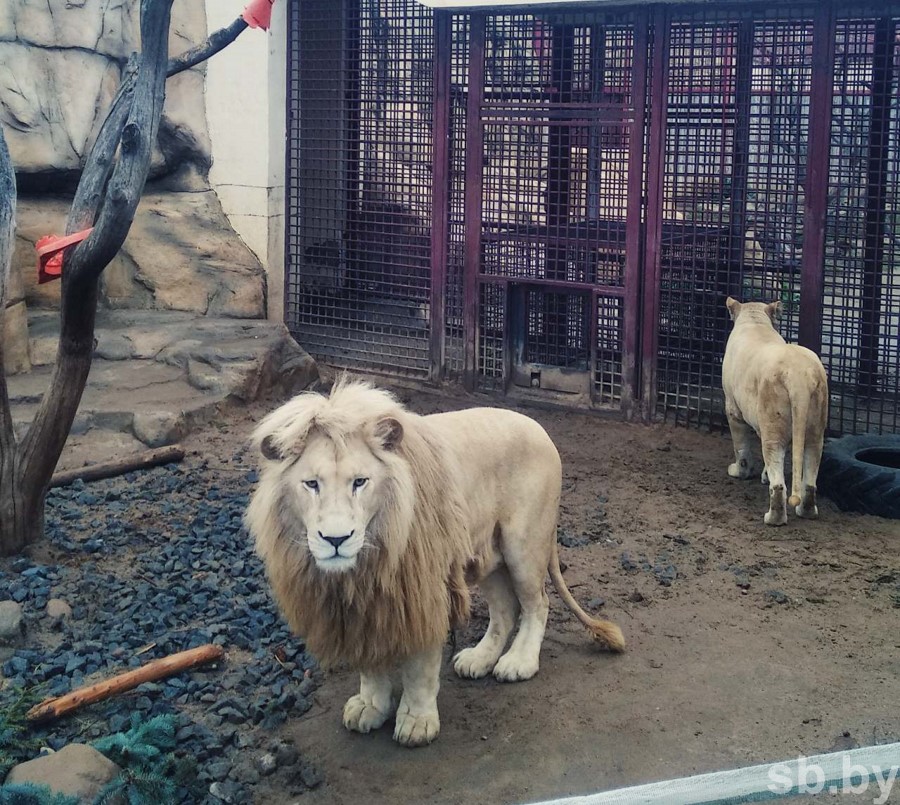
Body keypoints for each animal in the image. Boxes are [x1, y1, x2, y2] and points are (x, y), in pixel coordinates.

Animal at [246, 380, 624, 744]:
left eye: (360, 482)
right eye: (311, 484)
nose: (336, 539)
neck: (364, 567)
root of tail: (539, 428)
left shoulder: (422, 588)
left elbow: (419, 667)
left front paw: (416, 722)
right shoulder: (365, 607)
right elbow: (370, 663)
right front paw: (370, 705)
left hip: (524, 544)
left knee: (537, 604)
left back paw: (518, 662)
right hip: (487, 552)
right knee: (505, 609)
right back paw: (479, 659)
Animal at [724, 298, 828, 524]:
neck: (755, 321)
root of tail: (799, 377)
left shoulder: (733, 409)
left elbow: (740, 446)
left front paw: (740, 471)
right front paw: (763, 475)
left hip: (773, 426)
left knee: (778, 482)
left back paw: (773, 518)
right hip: (815, 429)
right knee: (810, 478)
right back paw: (807, 511)